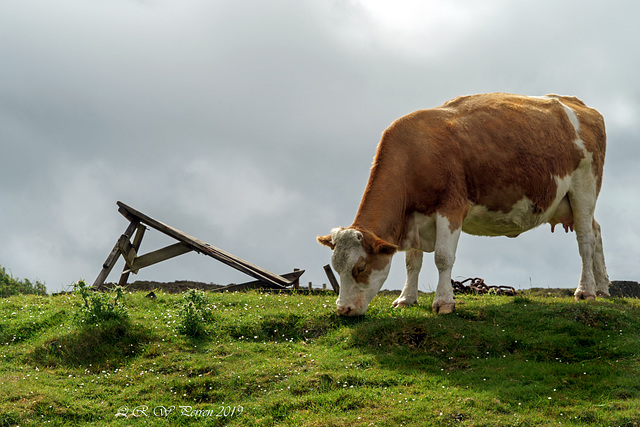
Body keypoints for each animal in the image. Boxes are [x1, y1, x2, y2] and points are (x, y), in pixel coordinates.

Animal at [318, 92, 608, 316]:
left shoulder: (451, 207)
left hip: (584, 187)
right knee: (596, 231)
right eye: (336, 268)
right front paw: (406, 299)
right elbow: (412, 262)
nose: (343, 310)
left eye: (361, 267)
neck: (415, 153)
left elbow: (443, 258)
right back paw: (603, 287)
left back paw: (586, 291)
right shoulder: (415, 217)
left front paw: (444, 303)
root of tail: (575, 103)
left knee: (585, 239)